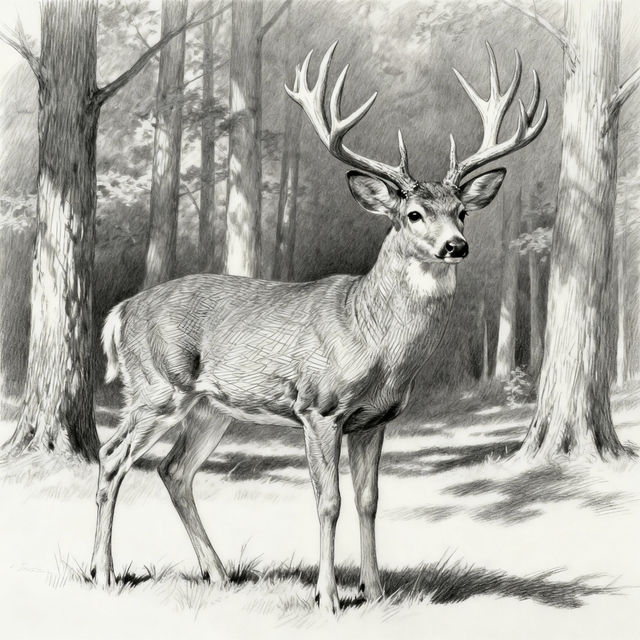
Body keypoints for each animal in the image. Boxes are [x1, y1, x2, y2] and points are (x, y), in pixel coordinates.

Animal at [90, 41, 547, 612]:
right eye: (414, 214)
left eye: (462, 210)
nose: (456, 246)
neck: (374, 339)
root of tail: (121, 311)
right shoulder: (319, 408)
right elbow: (328, 501)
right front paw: (327, 596)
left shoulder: (374, 419)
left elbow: (369, 500)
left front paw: (376, 590)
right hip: (156, 388)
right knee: (111, 457)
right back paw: (104, 573)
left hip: (209, 407)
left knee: (173, 470)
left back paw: (218, 574)